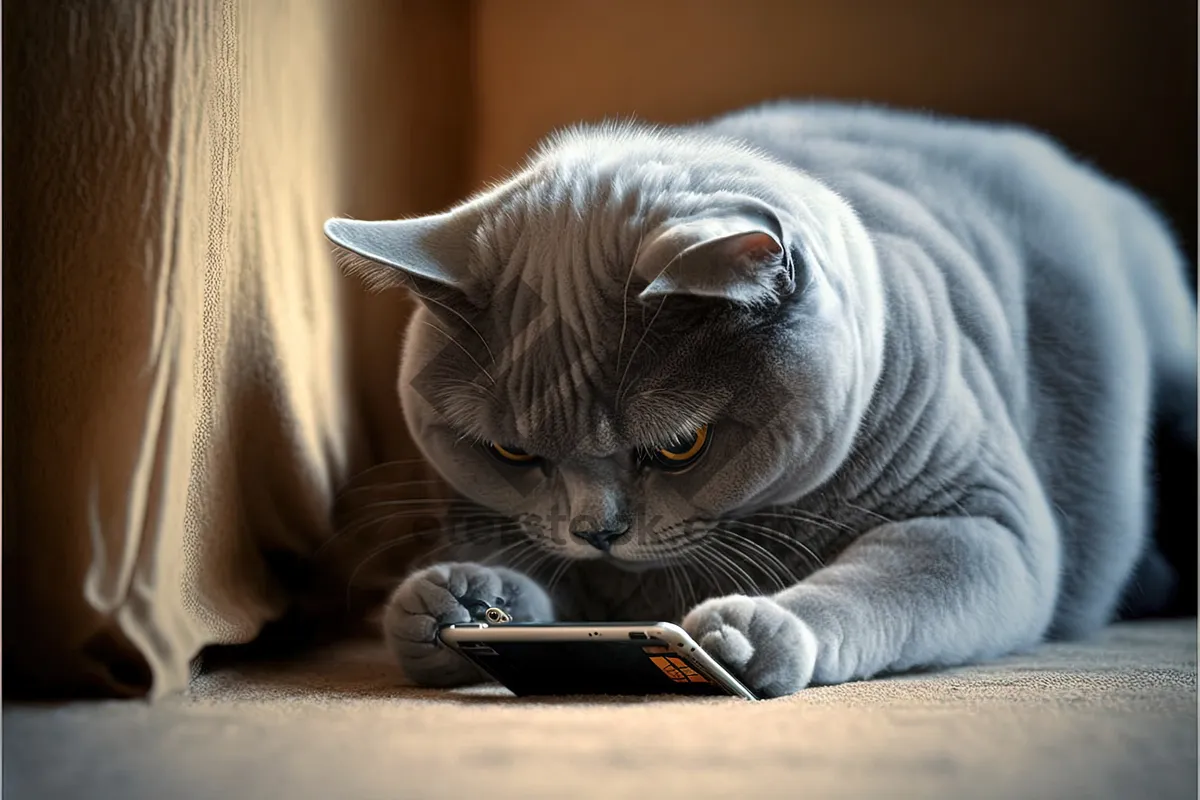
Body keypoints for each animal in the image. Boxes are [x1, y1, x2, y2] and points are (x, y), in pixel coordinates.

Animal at [324, 100, 1195, 695]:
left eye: (681, 446)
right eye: (512, 451)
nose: (596, 530)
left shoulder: (986, 519)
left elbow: (882, 586)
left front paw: (752, 634)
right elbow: (535, 569)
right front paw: (456, 599)